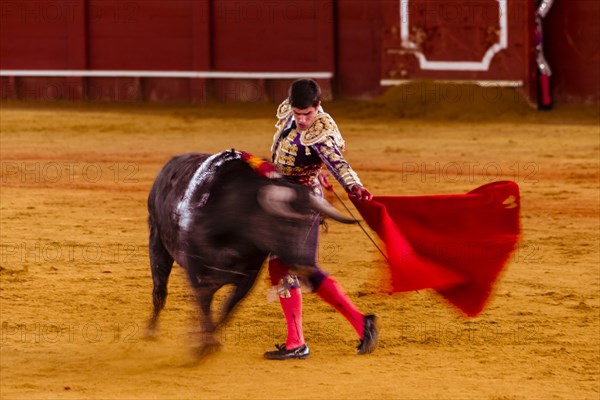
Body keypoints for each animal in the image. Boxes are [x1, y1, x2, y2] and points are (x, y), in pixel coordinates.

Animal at [145, 151, 354, 356]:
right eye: (285, 223)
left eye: (310, 222)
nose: (305, 265)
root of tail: (169, 165)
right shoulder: (197, 271)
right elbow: (204, 305)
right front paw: (204, 345)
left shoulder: (247, 278)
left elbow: (226, 309)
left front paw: (207, 341)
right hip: (157, 243)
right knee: (159, 291)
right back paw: (151, 332)